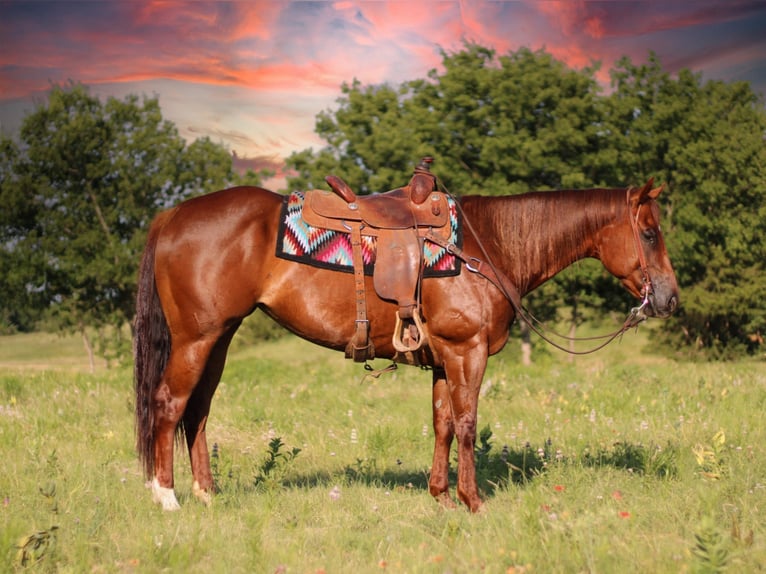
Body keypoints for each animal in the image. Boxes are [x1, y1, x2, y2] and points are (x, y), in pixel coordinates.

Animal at [135, 179, 680, 512]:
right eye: (650, 233)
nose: (670, 298)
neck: (486, 247)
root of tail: (173, 214)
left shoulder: (443, 359)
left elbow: (442, 424)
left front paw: (441, 496)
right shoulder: (466, 351)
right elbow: (467, 424)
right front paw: (472, 501)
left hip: (219, 340)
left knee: (198, 410)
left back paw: (207, 493)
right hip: (196, 340)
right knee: (169, 403)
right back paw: (165, 496)